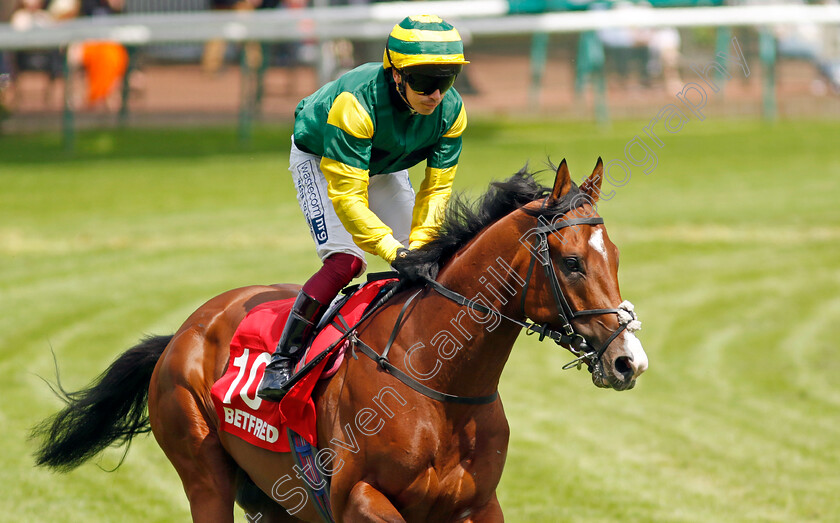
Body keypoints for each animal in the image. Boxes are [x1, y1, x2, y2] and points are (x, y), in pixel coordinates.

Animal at [32, 160, 648, 523]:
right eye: (571, 262)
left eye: (615, 257)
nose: (628, 361)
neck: (437, 384)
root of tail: (184, 331)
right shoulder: (357, 499)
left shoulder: (478, 506)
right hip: (204, 475)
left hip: (274, 500)